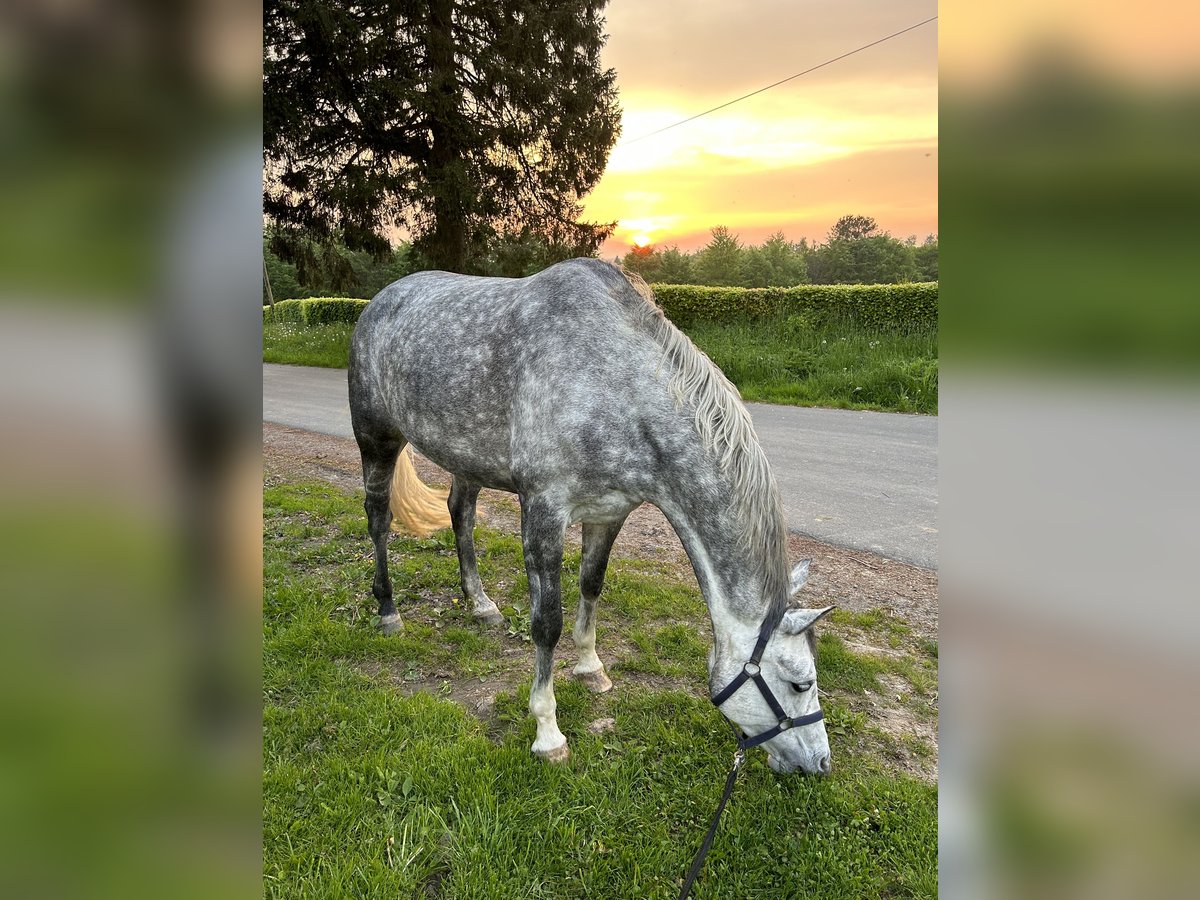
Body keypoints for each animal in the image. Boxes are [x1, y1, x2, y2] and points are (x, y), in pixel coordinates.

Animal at [348, 259, 835, 777]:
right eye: (801, 683)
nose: (820, 764)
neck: (614, 385)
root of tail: (380, 301)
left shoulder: (609, 512)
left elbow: (591, 585)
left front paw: (590, 668)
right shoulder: (544, 511)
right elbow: (547, 623)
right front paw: (548, 733)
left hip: (465, 457)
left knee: (461, 515)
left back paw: (480, 604)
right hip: (376, 440)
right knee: (378, 520)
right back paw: (388, 612)